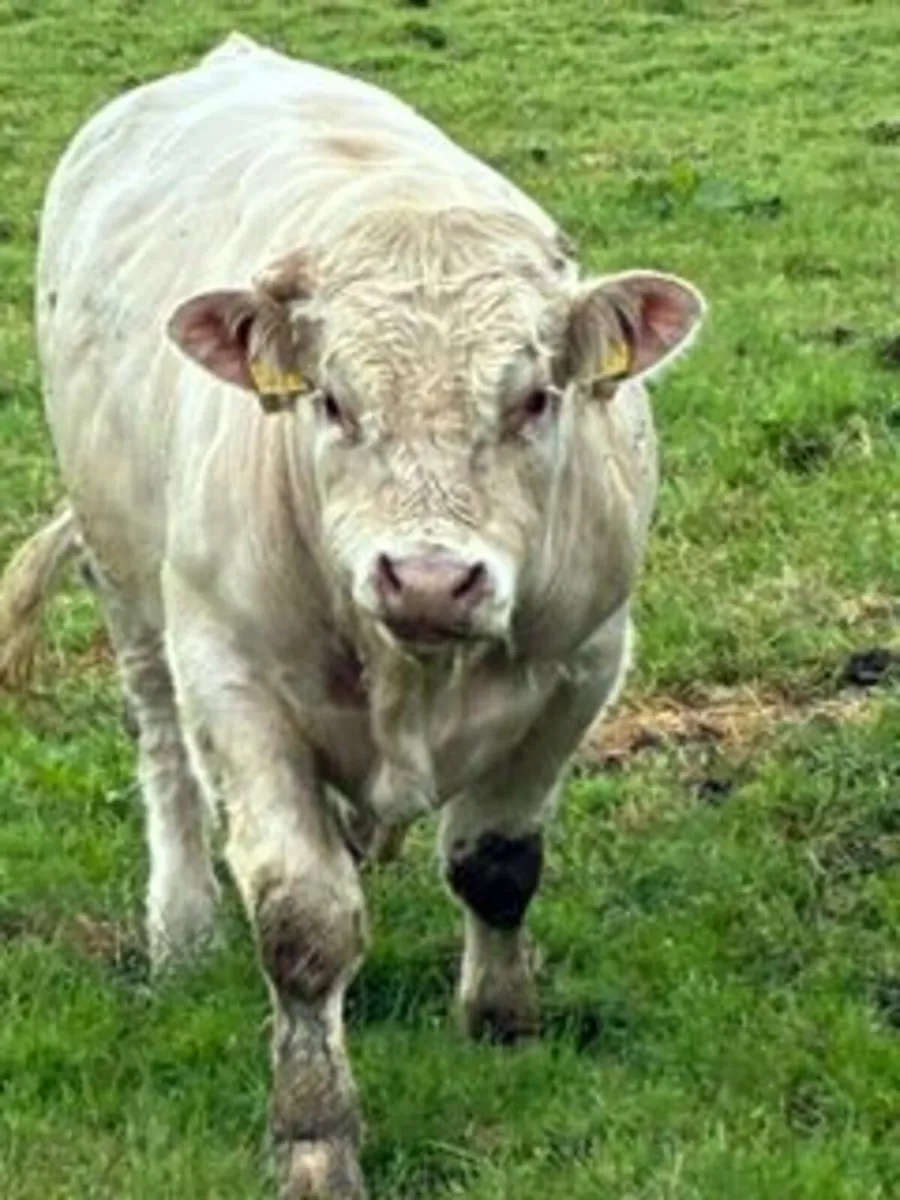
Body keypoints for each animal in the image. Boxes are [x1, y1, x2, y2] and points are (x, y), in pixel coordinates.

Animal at [0, 33, 707, 1198]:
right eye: (331, 401)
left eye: (536, 398)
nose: (426, 579)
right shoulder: (233, 676)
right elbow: (303, 921)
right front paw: (314, 1133)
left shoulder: (585, 661)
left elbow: (497, 864)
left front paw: (501, 1022)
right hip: (129, 582)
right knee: (162, 751)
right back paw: (181, 924)